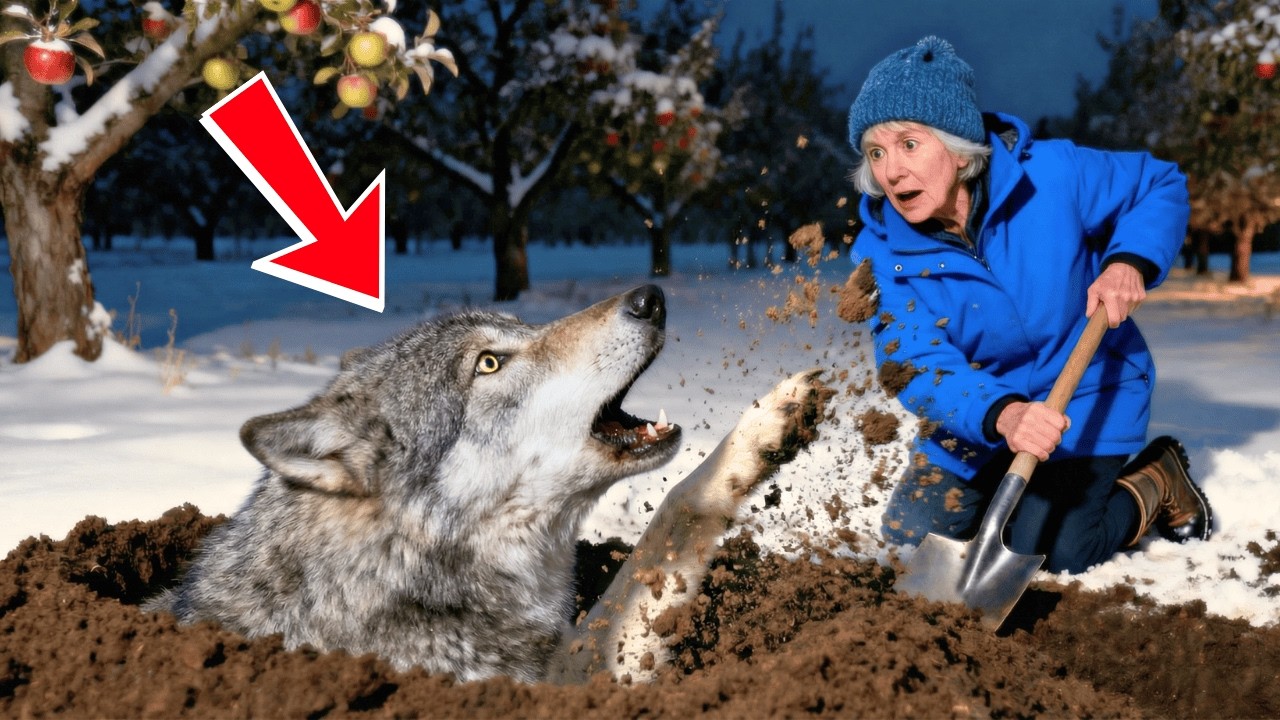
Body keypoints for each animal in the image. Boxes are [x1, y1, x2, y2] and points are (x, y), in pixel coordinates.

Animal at [147, 285, 830, 684]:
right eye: (489, 364)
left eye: (523, 328)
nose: (650, 295)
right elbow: (668, 514)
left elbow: (671, 516)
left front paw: (768, 424)